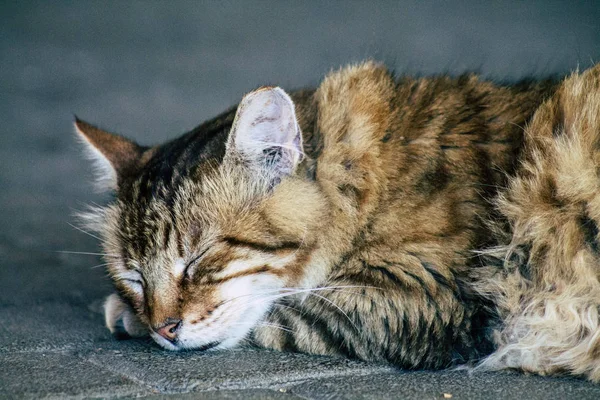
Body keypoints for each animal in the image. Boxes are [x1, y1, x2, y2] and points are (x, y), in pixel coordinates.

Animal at [75, 61, 600, 380]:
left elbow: (278, 315)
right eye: (135, 278)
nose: (163, 328)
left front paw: (123, 316)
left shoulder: (421, 298)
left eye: (200, 260)